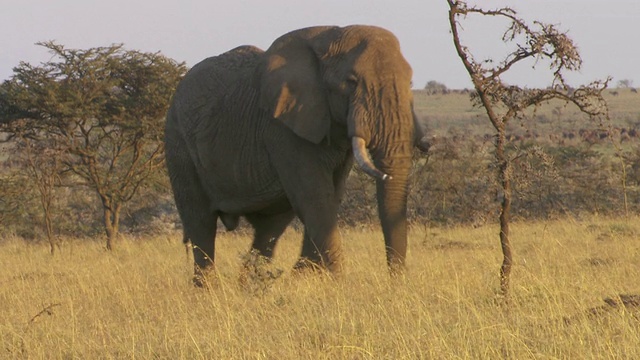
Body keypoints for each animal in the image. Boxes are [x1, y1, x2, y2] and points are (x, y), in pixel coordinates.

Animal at [165, 23, 424, 286]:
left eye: (411, 82)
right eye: (351, 82)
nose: (396, 281)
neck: (330, 38)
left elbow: (331, 196)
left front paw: (307, 276)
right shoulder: (283, 129)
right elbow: (315, 198)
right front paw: (335, 283)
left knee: (269, 229)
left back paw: (250, 287)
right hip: (178, 143)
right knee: (200, 221)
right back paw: (208, 290)